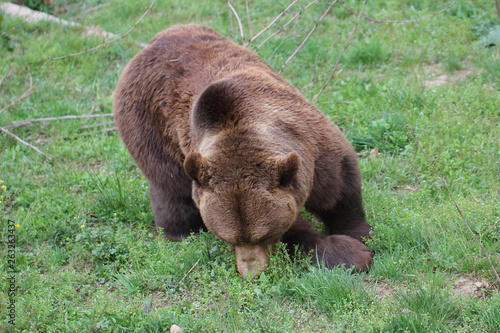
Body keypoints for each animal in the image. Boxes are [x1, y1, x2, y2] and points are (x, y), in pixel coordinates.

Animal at [113, 24, 372, 278]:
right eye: (228, 238)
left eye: (263, 235)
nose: (251, 274)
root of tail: (149, 45)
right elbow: (296, 231)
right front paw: (347, 253)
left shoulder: (314, 149)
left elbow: (340, 190)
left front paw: (360, 235)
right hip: (150, 127)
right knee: (171, 185)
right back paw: (182, 231)